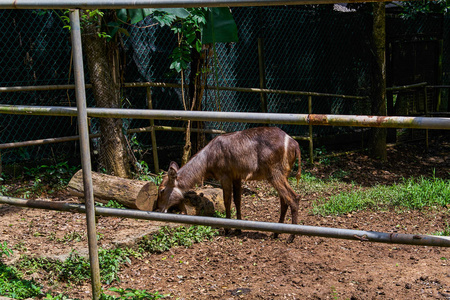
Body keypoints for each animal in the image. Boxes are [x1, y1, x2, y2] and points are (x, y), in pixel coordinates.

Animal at [156, 126, 300, 241]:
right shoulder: (237, 177)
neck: (207, 159)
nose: (159, 209)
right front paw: (238, 229)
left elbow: (227, 201)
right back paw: (276, 233)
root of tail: (294, 142)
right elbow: (238, 200)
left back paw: (291, 237)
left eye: (161, 190)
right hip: (283, 174)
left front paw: (227, 229)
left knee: (294, 197)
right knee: (284, 201)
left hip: (275, 174)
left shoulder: (225, 176)